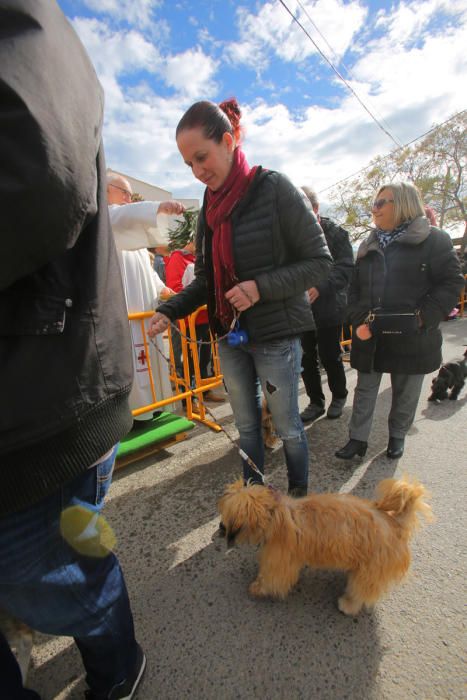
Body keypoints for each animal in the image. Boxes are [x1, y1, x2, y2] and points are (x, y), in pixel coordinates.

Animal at [218, 478, 432, 616]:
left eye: (226, 518)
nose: (221, 529)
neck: (273, 514)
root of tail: (396, 524)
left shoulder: (280, 560)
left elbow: (273, 578)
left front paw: (258, 588)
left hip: (370, 570)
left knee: (361, 590)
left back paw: (348, 605)